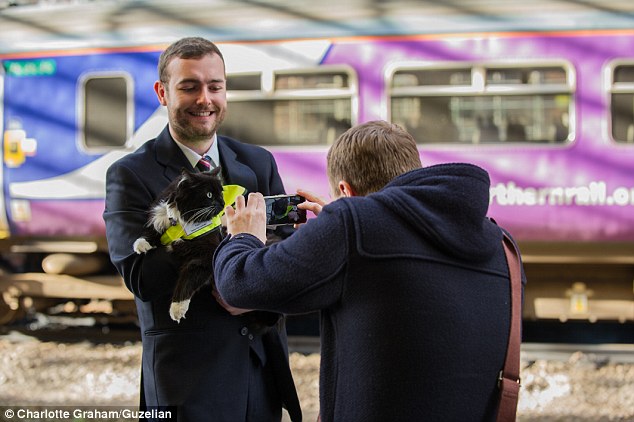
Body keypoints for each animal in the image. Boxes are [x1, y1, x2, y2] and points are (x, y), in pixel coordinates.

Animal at [132, 166, 226, 322]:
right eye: (209, 195)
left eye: (221, 194)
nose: (223, 203)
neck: (184, 220)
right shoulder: (162, 218)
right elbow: (154, 230)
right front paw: (142, 243)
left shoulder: (209, 253)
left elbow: (189, 275)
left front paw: (177, 307)